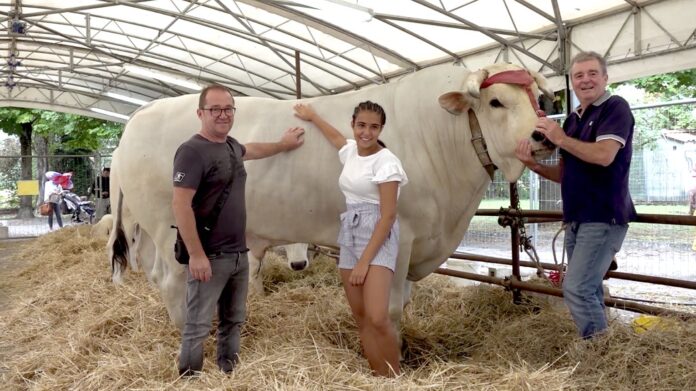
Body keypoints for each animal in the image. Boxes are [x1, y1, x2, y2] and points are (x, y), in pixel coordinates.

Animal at [109, 62, 556, 332]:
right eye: (496, 101)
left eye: (536, 99)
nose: (542, 136)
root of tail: (143, 114)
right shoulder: (400, 236)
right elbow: (389, 307)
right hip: (172, 229)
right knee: (173, 281)